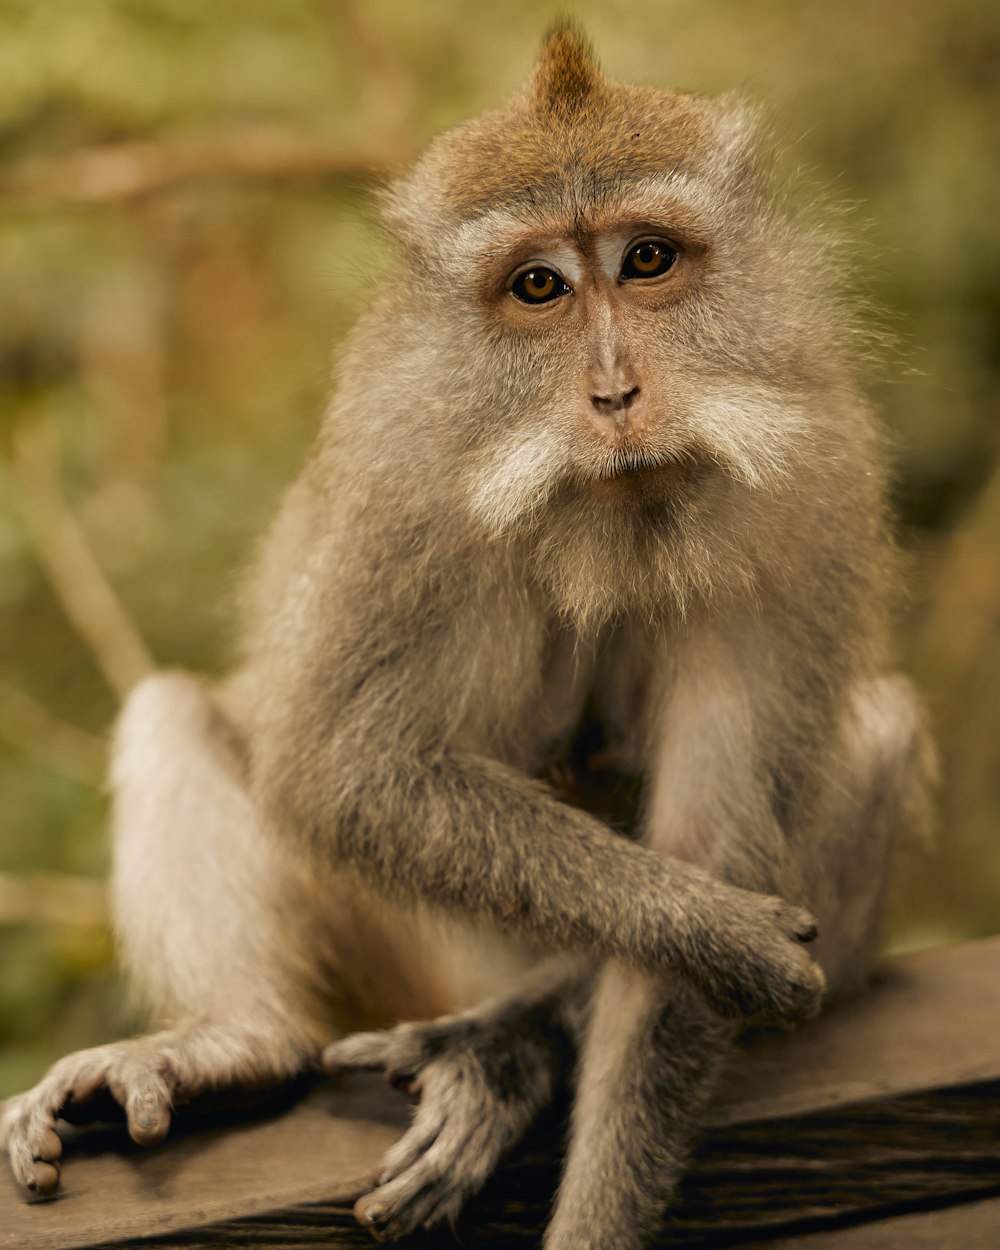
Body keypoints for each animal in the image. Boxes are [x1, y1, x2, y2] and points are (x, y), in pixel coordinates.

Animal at [3, 22, 935, 1250]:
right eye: (538, 286)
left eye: (647, 261)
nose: (615, 394)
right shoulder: (403, 492)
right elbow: (345, 768)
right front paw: (716, 934)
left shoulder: (813, 484)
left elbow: (712, 829)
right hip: (407, 951)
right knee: (174, 713)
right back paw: (240, 1041)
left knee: (878, 725)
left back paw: (514, 1035)